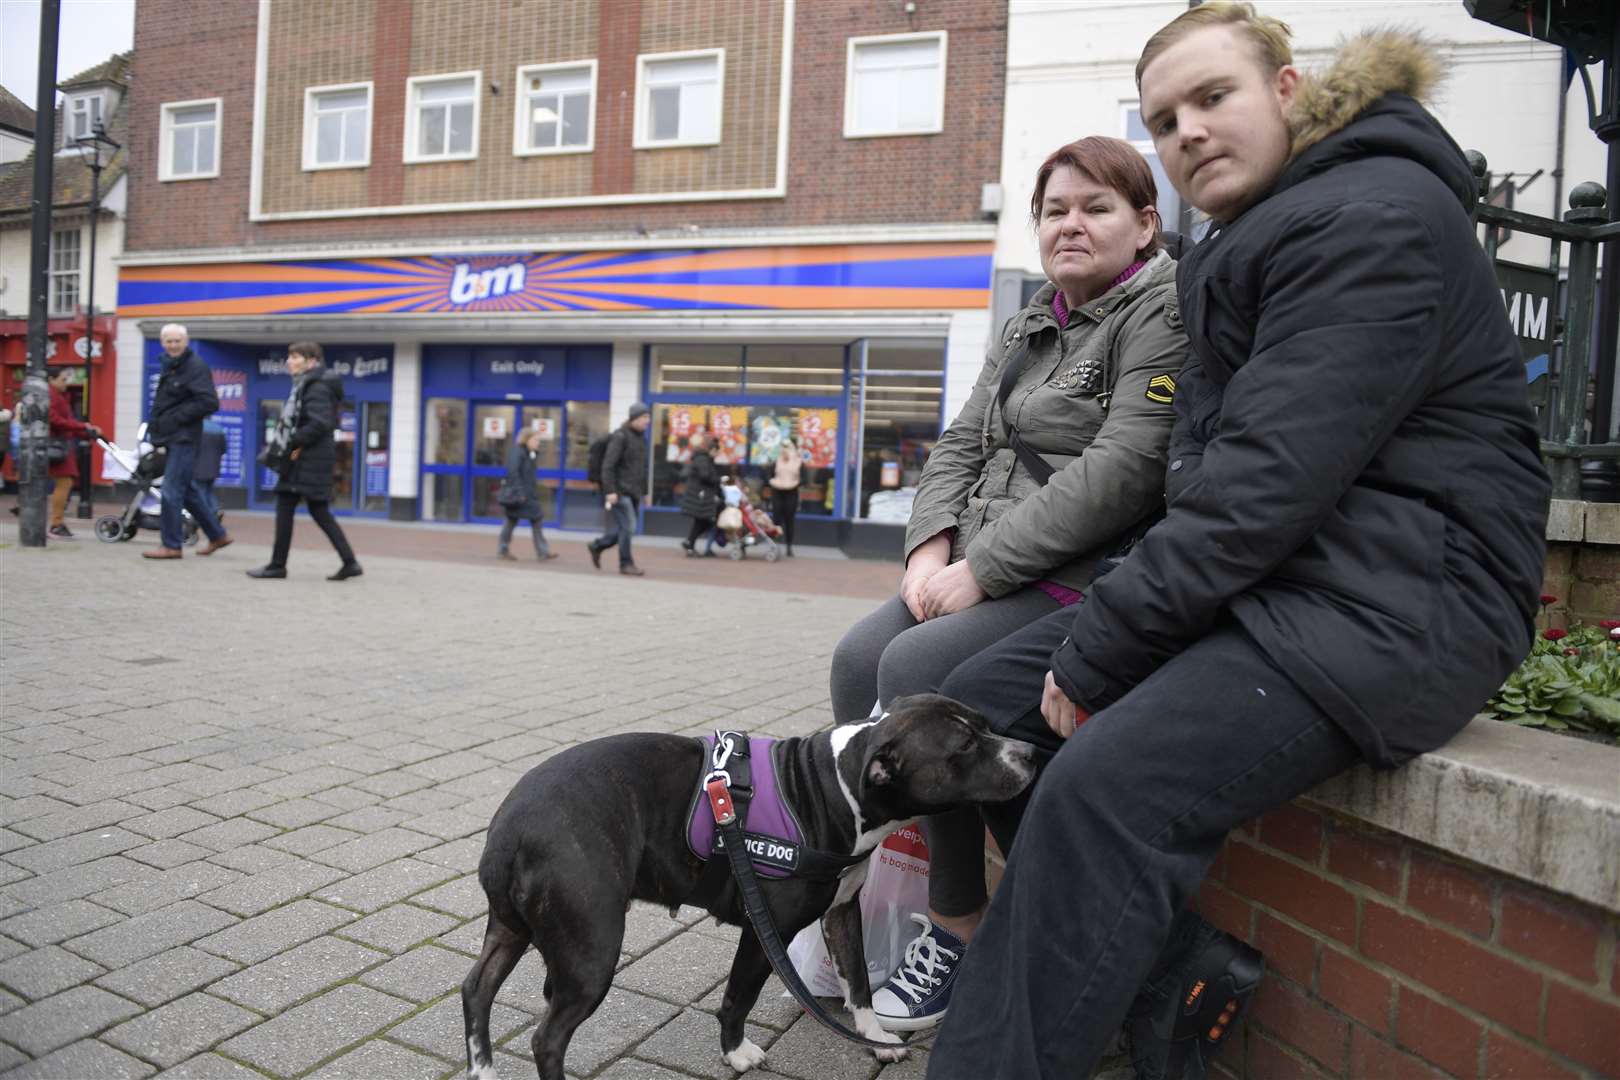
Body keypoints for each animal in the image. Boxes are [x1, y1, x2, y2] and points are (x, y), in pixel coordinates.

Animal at [463, 696, 1036, 1075]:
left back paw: (482, 1067)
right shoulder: (767, 932)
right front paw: (736, 1052)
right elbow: (740, 994)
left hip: (511, 929)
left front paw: (875, 1038)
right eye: (966, 745)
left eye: (985, 725)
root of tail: (511, 826)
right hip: (593, 948)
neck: (834, 788)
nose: (1030, 751)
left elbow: (859, 986)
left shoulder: (842, 912)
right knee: (547, 1038)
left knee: (477, 989)